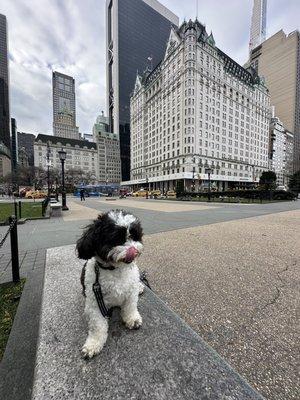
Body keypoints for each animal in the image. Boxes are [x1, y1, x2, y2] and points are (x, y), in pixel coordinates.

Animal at [77, 209, 144, 360]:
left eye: (134, 235)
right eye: (116, 238)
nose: (133, 250)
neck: (116, 270)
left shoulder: (130, 293)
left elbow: (130, 307)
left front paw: (132, 319)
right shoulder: (95, 302)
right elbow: (97, 325)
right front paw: (93, 344)